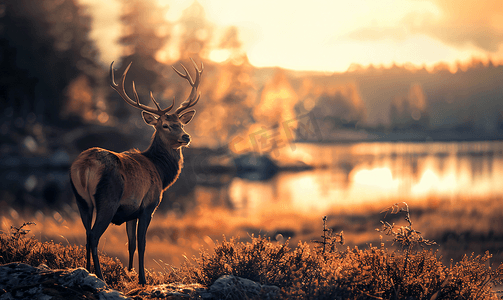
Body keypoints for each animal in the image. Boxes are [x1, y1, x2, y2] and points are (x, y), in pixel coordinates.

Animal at [69, 58, 203, 284]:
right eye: (165, 125)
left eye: (181, 123)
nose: (186, 137)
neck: (161, 172)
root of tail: (85, 165)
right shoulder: (148, 205)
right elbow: (142, 243)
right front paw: (142, 278)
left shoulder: (130, 211)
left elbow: (130, 243)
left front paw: (129, 272)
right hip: (108, 199)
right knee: (94, 235)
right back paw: (100, 276)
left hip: (81, 200)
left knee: (86, 234)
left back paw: (86, 271)